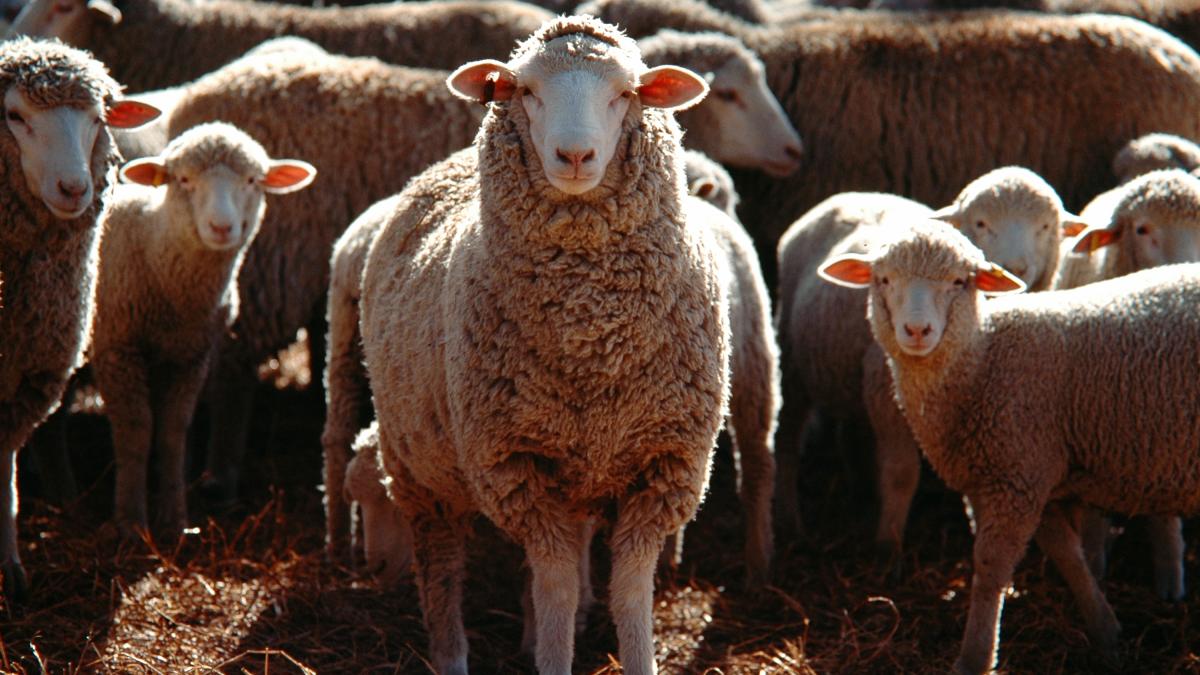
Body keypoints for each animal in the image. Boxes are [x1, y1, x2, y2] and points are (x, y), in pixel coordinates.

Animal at [0, 37, 159, 599]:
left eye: (97, 118)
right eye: (14, 116)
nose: (74, 189)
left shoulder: (33, 375)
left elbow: (4, 470)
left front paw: (11, 567)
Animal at [90, 122, 314, 538]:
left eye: (251, 180)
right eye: (183, 179)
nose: (221, 227)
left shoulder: (192, 354)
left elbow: (173, 431)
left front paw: (174, 521)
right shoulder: (117, 346)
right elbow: (135, 431)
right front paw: (131, 523)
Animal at [358, 16, 727, 674]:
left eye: (626, 93)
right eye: (525, 91)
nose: (575, 156)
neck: (591, 333)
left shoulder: (666, 464)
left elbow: (629, 592)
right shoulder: (516, 464)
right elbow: (554, 587)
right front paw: (554, 650)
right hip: (419, 468)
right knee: (441, 567)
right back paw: (451, 653)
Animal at [775, 168, 1085, 543]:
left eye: (1045, 226)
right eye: (980, 223)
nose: (1014, 266)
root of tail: (858, 193)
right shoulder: (886, 397)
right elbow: (900, 473)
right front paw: (888, 543)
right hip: (791, 358)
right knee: (787, 438)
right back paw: (789, 521)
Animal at [821, 219, 1200, 674]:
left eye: (959, 282)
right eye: (884, 279)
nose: (916, 331)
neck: (984, 357)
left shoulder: (1016, 475)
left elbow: (990, 567)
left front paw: (975, 657)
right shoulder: (1029, 472)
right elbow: (1067, 553)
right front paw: (1105, 630)